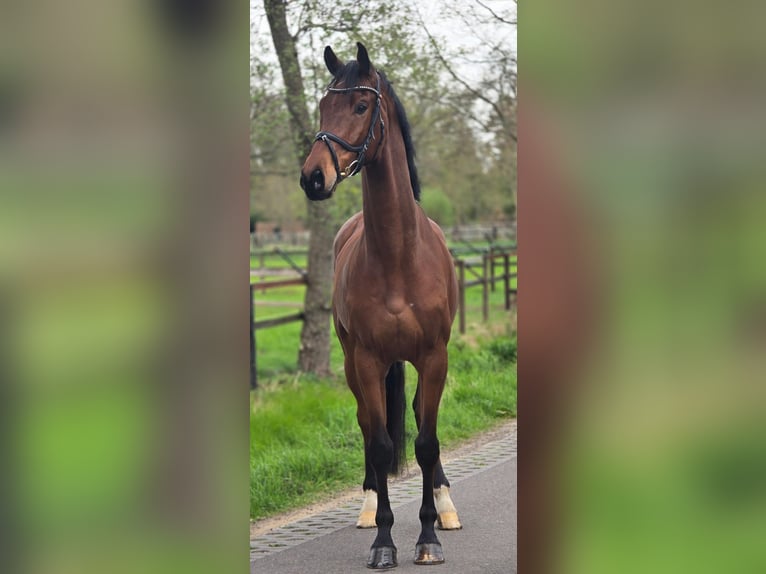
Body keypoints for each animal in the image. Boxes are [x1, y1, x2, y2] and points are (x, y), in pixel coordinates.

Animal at [299, 42, 461, 569]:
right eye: (323, 106)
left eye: (360, 106)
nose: (313, 177)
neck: (397, 255)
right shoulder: (368, 360)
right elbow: (381, 442)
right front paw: (385, 541)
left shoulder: (434, 356)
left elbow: (426, 442)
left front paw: (428, 537)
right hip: (355, 363)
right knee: (369, 427)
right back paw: (370, 506)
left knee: (418, 418)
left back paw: (445, 505)